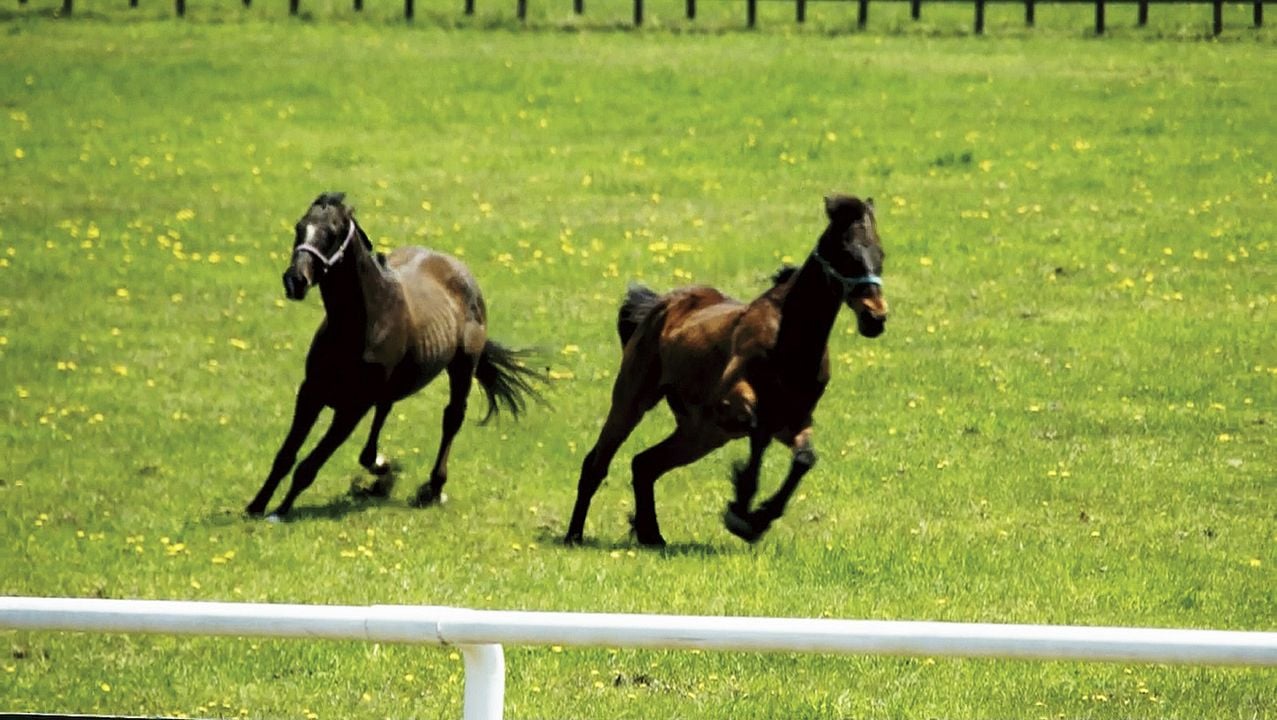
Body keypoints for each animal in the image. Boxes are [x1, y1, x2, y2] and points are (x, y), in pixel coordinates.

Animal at [245, 192, 544, 519]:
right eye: (300, 227)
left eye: (333, 232)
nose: (295, 280)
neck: (363, 321)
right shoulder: (311, 392)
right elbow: (286, 454)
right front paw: (256, 506)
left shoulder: (352, 408)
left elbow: (309, 465)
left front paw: (280, 511)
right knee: (382, 418)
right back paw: (383, 467)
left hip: (462, 366)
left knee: (452, 417)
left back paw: (433, 489)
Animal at [564, 194, 888, 547]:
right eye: (847, 254)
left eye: (880, 254)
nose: (876, 318)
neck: (788, 341)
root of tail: (661, 305)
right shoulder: (732, 405)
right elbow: (758, 432)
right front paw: (742, 510)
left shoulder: (796, 420)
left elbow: (803, 460)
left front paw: (757, 517)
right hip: (635, 402)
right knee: (597, 463)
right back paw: (574, 535)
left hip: (701, 434)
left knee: (645, 464)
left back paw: (652, 535)